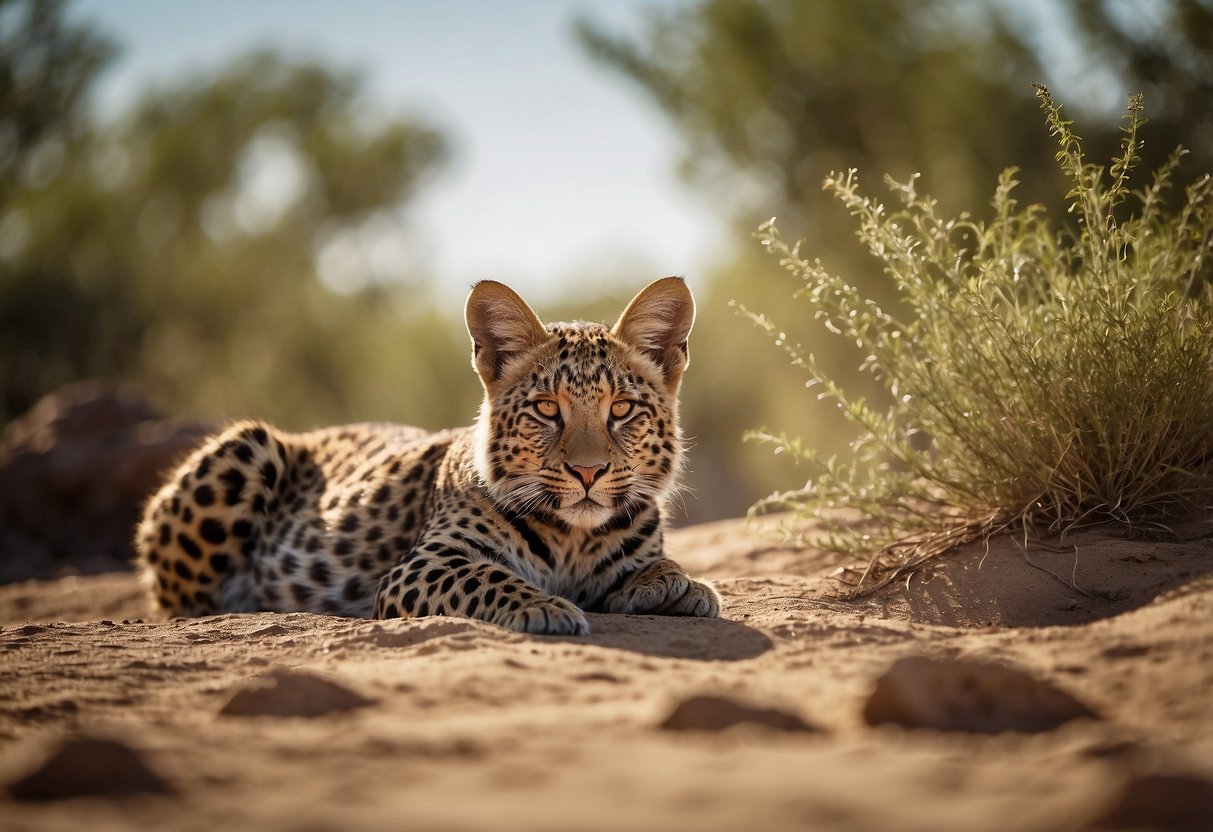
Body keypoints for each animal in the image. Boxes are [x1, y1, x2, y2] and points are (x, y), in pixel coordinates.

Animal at [135, 276, 718, 635]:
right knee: (175, 603)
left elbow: (657, 564)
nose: (588, 471)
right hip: (246, 448)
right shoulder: (425, 563)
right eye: (547, 409)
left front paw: (681, 585)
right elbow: (489, 577)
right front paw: (547, 607)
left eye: (621, 408)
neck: (573, 539)